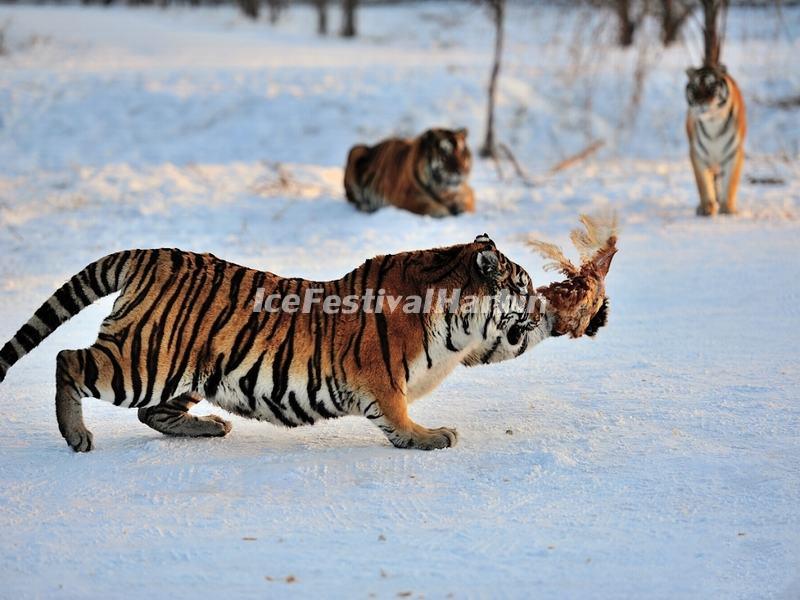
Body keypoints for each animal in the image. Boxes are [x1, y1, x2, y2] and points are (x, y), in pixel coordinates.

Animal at [0, 218, 616, 452]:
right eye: (521, 282)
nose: (536, 300)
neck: (456, 318)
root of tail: (150, 255)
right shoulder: (383, 378)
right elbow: (398, 416)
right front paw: (430, 436)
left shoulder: (477, 345)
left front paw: (580, 306)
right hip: (144, 359)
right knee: (68, 359)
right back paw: (76, 435)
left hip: (189, 371)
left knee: (154, 412)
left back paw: (209, 427)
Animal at [344, 126, 476, 218]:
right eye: (446, 153)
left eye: (462, 152)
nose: (462, 171)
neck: (443, 190)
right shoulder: (406, 197)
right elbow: (427, 206)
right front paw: (444, 212)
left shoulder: (467, 192)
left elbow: (467, 203)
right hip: (356, 150)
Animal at [684, 65, 748, 216]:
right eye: (694, 88)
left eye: (711, 87)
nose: (700, 103)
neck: (712, 122)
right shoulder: (697, 155)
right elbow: (703, 183)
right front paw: (707, 207)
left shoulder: (734, 153)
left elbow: (730, 181)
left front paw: (728, 208)